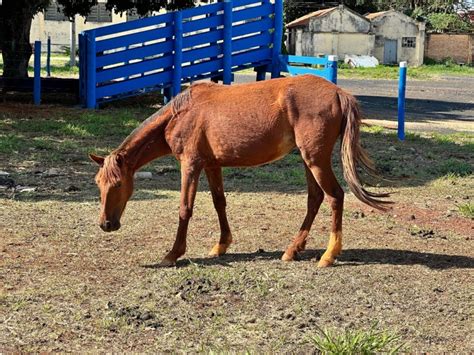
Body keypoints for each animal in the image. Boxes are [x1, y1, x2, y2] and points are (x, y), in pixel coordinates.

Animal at [90, 76, 388, 268]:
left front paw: (173, 254)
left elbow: (185, 208)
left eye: (118, 184)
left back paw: (329, 255)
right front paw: (221, 245)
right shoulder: (211, 165)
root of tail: (338, 92)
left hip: (315, 160)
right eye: (98, 184)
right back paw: (293, 249)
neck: (180, 113)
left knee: (335, 196)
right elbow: (219, 202)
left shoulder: (190, 164)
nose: (106, 224)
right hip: (308, 160)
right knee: (314, 198)